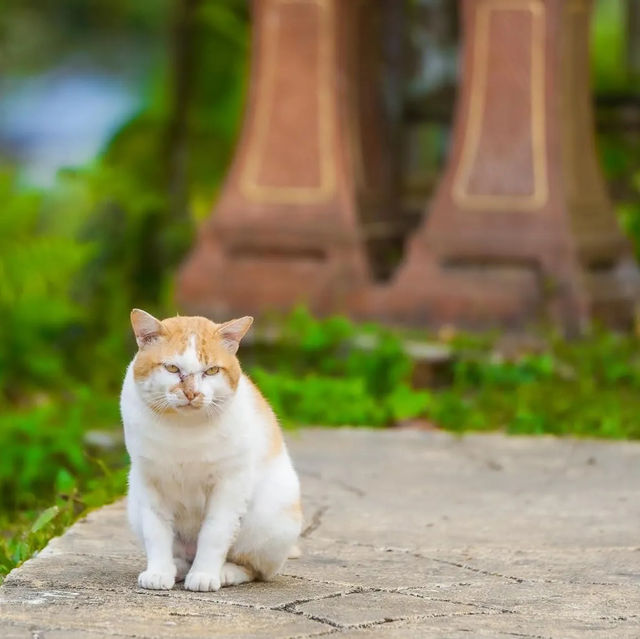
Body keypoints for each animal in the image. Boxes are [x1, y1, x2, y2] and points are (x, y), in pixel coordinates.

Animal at [120, 308, 302, 592]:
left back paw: (224, 572)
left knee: (255, 568)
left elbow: (214, 534)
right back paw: (176, 567)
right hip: (134, 505)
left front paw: (204, 574)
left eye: (212, 370)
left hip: (269, 517)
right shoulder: (149, 483)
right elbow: (156, 531)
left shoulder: (229, 485)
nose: (191, 393)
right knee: (181, 554)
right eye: (172, 368)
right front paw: (159, 572)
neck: (184, 432)